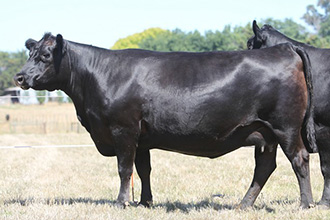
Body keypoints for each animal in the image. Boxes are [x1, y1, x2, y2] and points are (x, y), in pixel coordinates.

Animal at [14, 33, 314, 209]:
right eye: (30, 54)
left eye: (45, 56)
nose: (19, 76)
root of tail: (286, 48)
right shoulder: (142, 137)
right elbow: (143, 170)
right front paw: (145, 202)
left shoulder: (123, 130)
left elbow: (124, 169)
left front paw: (121, 202)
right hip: (265, 134)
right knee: (264, 167)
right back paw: (244, 205)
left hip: (285, 127)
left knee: (299, 159)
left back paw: (305, 204)